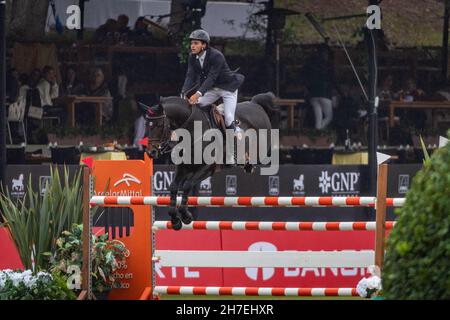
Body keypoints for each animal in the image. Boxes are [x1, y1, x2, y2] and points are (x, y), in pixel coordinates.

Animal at [141, 92, 276, 230]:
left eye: (159, 125)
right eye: (146, 124)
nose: (150, 152)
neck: (192, 129)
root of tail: (255, 104)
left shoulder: (207, 168)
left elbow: (187, 184)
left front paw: (186, 216)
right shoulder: (183, 167)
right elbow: (174, 186)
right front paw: (175, 219)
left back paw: (248, 165)